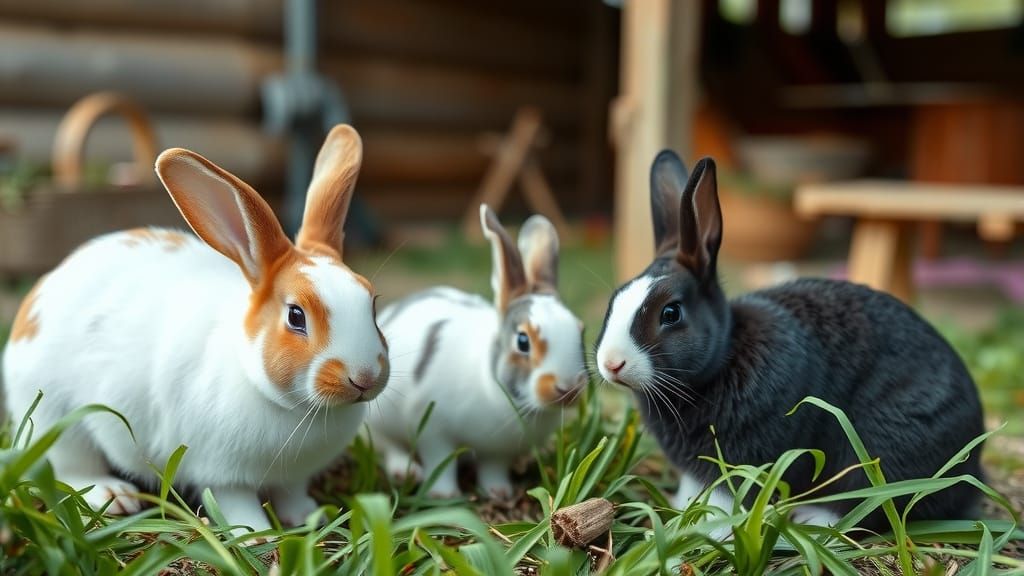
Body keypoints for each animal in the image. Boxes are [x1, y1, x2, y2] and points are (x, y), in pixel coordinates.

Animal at [1, 125, 389, 534]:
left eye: (371, 302)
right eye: (296, 316)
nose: (364, 377)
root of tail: (40, 294)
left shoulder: (293, 476)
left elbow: (292, 492)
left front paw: (306, 516)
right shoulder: (220, 472)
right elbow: (237, 502)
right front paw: (255, 534)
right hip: (57, 419)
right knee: (70, 467)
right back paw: (114, 495)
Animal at [366, 205, 587, 498]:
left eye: (581, 330)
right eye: (523, 341)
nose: (569, 389)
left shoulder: (497, 452)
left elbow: (493, 468)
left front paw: (499, 492)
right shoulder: (434, 431)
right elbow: (441, 462)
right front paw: (444, 495)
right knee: (388, 445)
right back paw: (405, 471)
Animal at [594, 151, 985, 532]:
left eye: (671, 313)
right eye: (614, 299)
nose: (611, 364)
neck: (722, 359)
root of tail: (973, 462)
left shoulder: (740, 462)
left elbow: (724, 496)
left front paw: (705, 527)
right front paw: (681, 509)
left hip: (882, 447)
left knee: (872, 504)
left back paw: (813, 519)